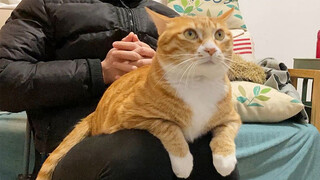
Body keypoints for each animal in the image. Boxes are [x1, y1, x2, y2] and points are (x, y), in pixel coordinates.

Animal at [36, 7, 241, 179]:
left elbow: (225, 133)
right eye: (190, 33)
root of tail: (93, 114)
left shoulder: (232, 118)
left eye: (220, 34)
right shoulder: (134, 116)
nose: (211, 49)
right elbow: (170, 128)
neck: (199, 83)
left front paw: (225, 161)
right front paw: (183, 163)